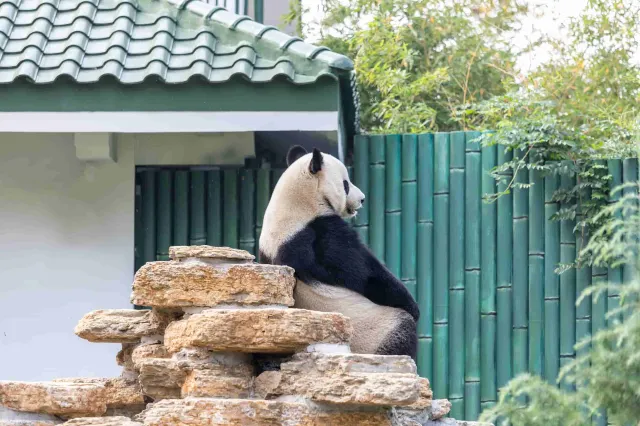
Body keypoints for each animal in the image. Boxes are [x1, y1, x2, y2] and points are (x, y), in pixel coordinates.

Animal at [260, 145, 420, 358]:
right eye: (346, 184)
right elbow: (366, 275)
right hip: (373, 330)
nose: (362, 199)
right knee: (402, 329)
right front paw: (413, 307)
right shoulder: (321, 234)